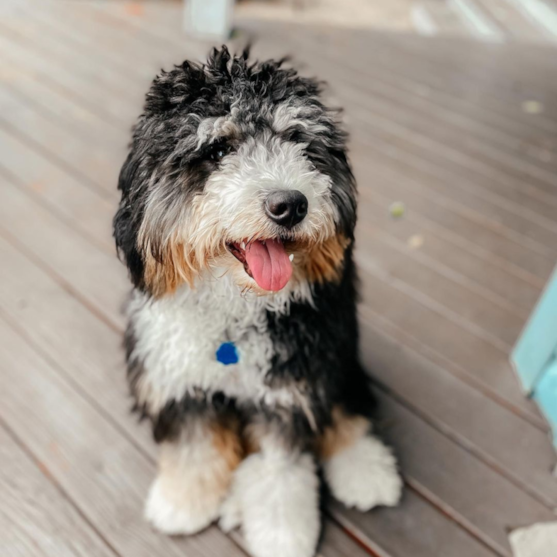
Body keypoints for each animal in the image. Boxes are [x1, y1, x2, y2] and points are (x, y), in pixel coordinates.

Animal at [114, 44, 400, 556]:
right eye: (217, 150)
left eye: (297, 140)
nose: (291, 204)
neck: (235, 314)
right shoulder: (181, 384)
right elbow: (194, 449)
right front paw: (183, 503)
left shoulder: (290, 387)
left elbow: (278, 475)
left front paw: (283, 535)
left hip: (338, 355)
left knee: (348, 409)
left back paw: (366, 471)